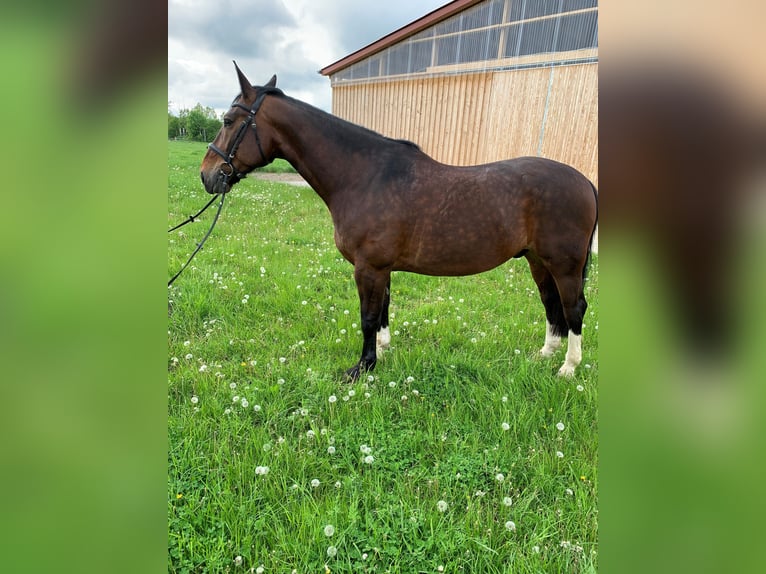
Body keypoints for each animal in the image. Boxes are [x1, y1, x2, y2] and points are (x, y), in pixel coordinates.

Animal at [201, 64, 596, 382]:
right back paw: (543, 355)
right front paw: (383, 351)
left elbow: (367, 317)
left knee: (574, 307)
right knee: (551, 304)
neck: (364, 176)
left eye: (227, 121)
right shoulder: (382, 269)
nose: (207, 175)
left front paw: (363, 367)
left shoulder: (369, 267)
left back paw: (568, 367)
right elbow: (383, 313)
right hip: (537, 260)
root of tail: (585, 182)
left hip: (564, 264)